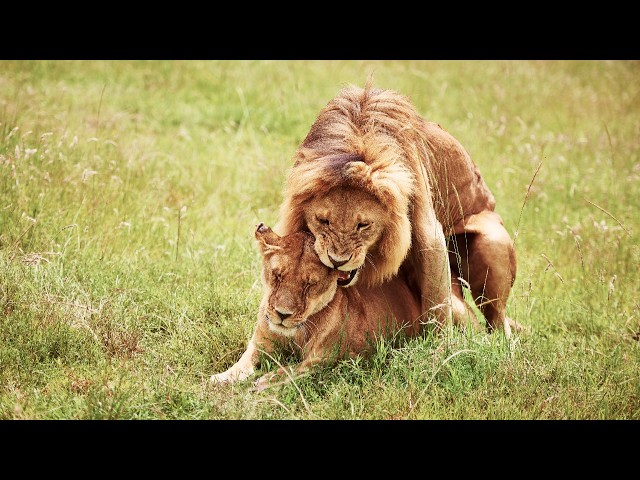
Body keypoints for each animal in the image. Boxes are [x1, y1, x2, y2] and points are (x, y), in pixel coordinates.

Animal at [210, 223, 433, 391]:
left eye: (310, 284)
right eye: (277, 275)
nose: (282, 314)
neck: (295, 334)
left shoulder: (326, 359)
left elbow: (293, 369)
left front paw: (266, 380)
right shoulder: (259, 344)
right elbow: (242, 363)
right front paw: (221, 378)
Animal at [275, 82, 518, 336]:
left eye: (363, 225)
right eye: (323, 221)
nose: (337, 261)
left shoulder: (429, 233)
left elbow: (436, 304)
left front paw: (437, 345)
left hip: (492, 244)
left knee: (495, 320)